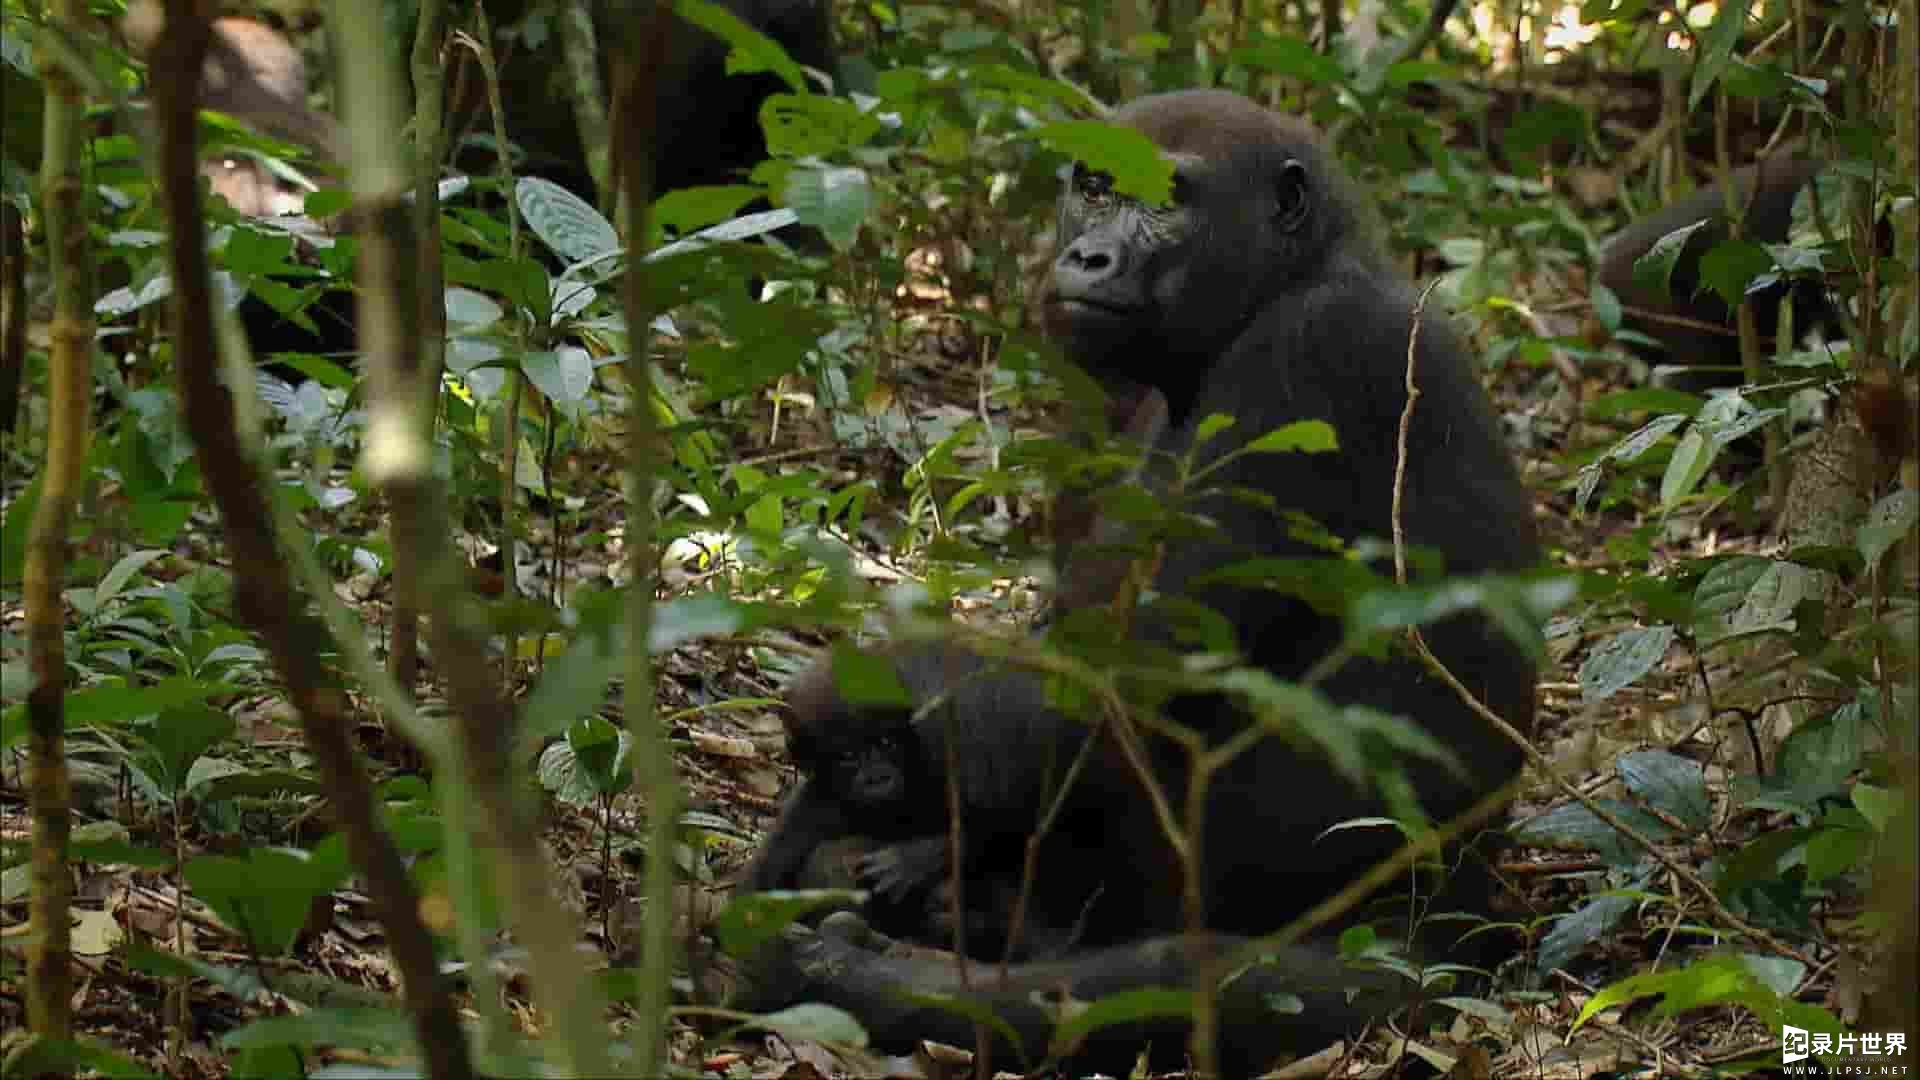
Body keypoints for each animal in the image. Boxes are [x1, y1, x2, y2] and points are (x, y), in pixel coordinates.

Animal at [737, 90, 1543, 1068]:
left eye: (1165, 202)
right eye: (1093, 187)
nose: (1088, 255)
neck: (1294, 273)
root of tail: (1454, 926)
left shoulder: (1308, 359)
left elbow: (1121, 674)